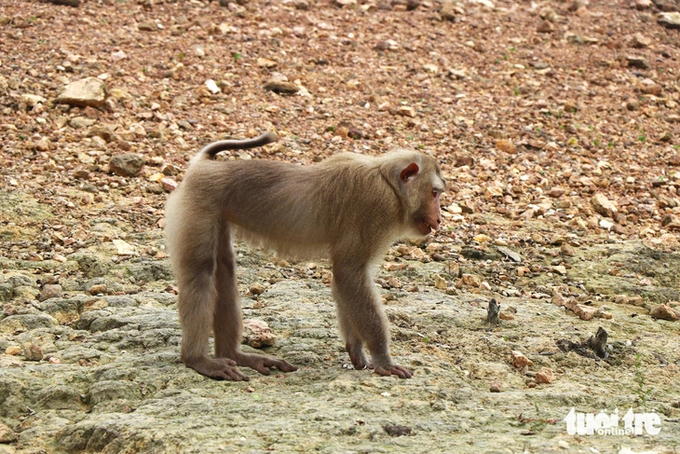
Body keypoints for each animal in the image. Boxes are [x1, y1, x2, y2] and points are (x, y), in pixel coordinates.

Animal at [165, 131, 446, 380]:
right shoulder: (376, 207)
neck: (388, 182)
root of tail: (203, 166)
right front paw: (383, 360)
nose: (440, 218)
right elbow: (349, 272)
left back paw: (235, 354)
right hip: (198, 204)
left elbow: (345, 280)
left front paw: (355, 348)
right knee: (200, 272)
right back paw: (197, 360)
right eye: (434, 193)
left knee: (224, 269)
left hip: (218, 211)